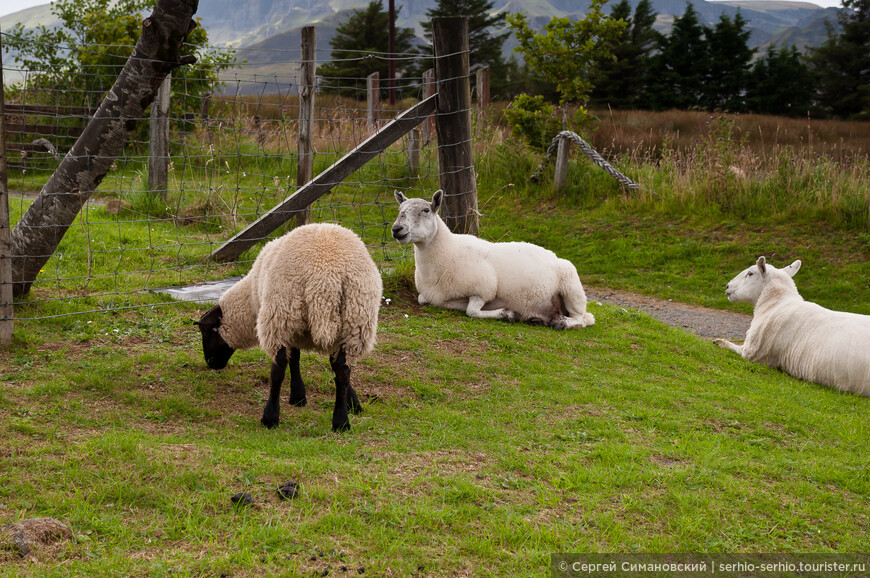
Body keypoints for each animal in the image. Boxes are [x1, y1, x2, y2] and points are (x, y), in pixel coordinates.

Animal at [196, 223, 384, 430]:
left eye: (206, 332)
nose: (211, 364)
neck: (251, 300)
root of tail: (326, 275)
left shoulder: (290, 327)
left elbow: (293, 359)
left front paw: (297, 396)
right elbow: (330, 364)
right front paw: (353, 402)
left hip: (280, 315)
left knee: (277, 368)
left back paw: (270, 417)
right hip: (356, 322)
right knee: (343, 370)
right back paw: (341, 422)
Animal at [392, 190, 596, 328]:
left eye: (425, 210)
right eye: (400, 209)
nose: (396, 229)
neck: (447, 251)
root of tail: (554, 255)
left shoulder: (483, 290)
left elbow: (472, 312)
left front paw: (508, 314)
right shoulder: (435, 297)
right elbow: (422, 299)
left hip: (572, 288)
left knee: (584, 319)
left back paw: (562, 322)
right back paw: (538, 319)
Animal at [716, 256, 870, 396]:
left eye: (750, 273)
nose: (727, 286)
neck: (776, 303)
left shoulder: (753, 351)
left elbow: (735, 348)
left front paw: (720, 342)